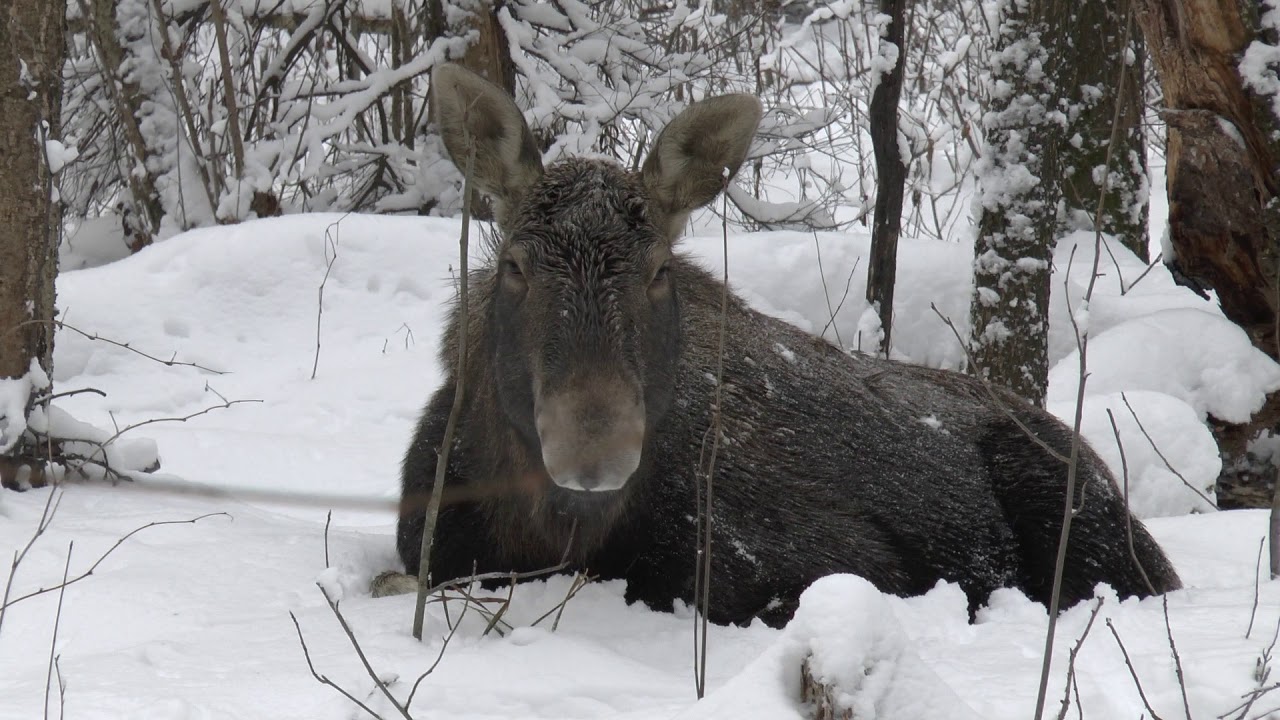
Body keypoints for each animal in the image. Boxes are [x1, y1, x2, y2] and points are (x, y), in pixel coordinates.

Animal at [384, 64, 1182, 625]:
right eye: (515, 266)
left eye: (658, 270)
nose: (593, 448)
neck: (555, 530)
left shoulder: (842, 561)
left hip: (1086, 522)